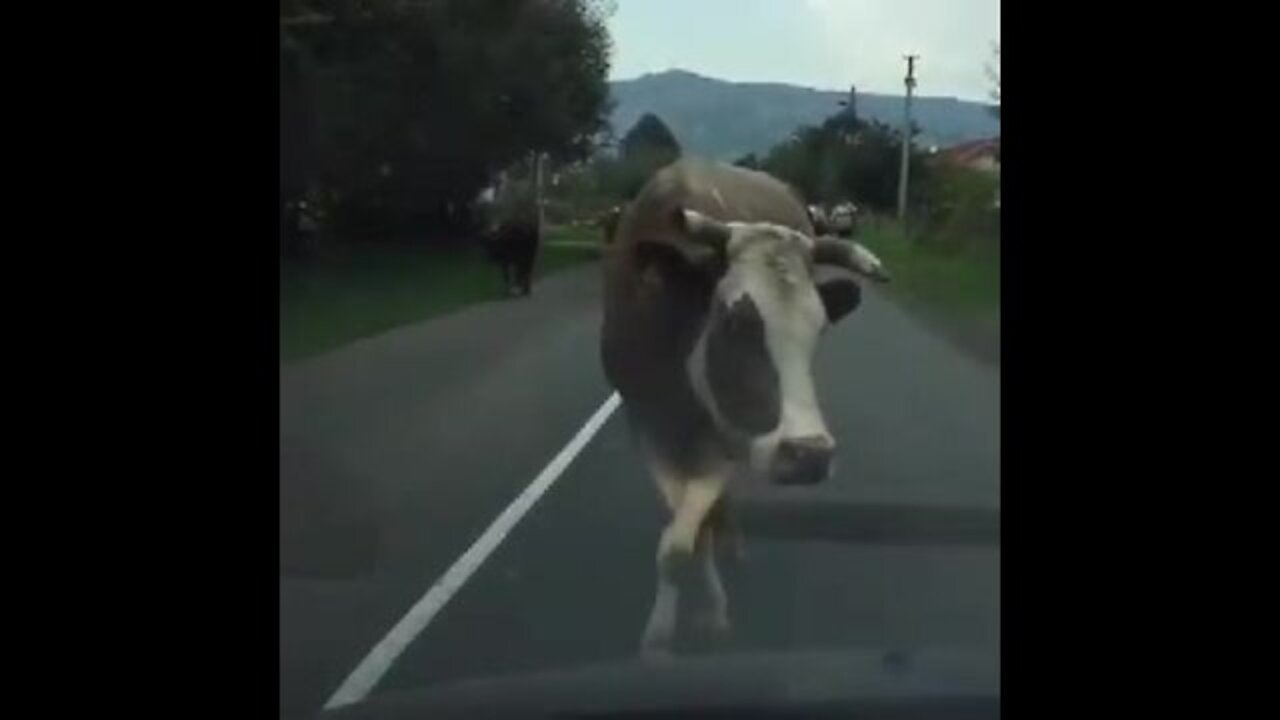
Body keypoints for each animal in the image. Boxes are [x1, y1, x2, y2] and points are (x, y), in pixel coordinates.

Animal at [601, 158, 890, 655]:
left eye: (820, 328)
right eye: (735, 321)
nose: (809, 455)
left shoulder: (726, 436)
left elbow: (690, 533)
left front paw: (711, 614)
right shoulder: (647, 425)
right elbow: (682, 538)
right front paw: (660, 635)